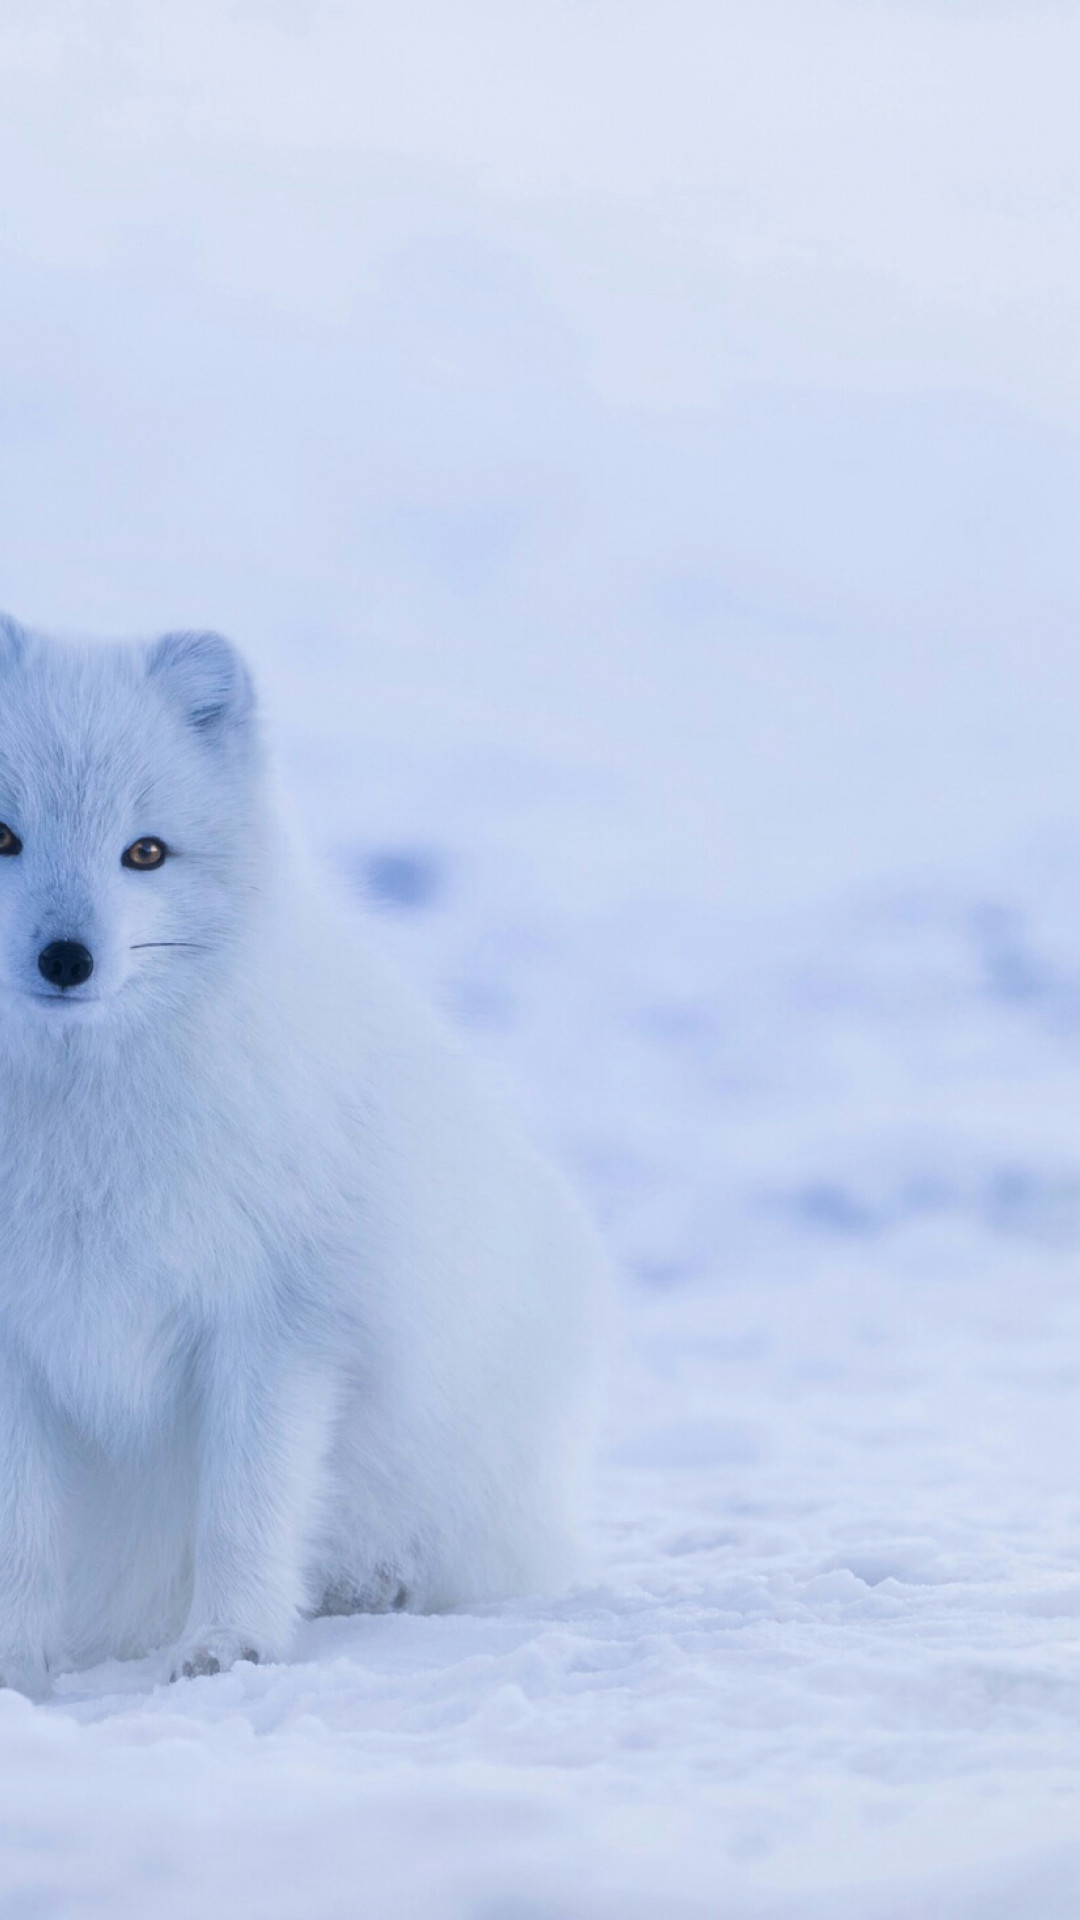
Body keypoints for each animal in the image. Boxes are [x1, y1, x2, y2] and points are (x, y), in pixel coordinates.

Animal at [0, 614, 595, 1697]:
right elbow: (20, 1533)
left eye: (145, 851)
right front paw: (15, 1671)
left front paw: (229, 1647)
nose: (67, 959)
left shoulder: (275, 1318)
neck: (80, 1124)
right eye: (2, 836)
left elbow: (246, 1508)